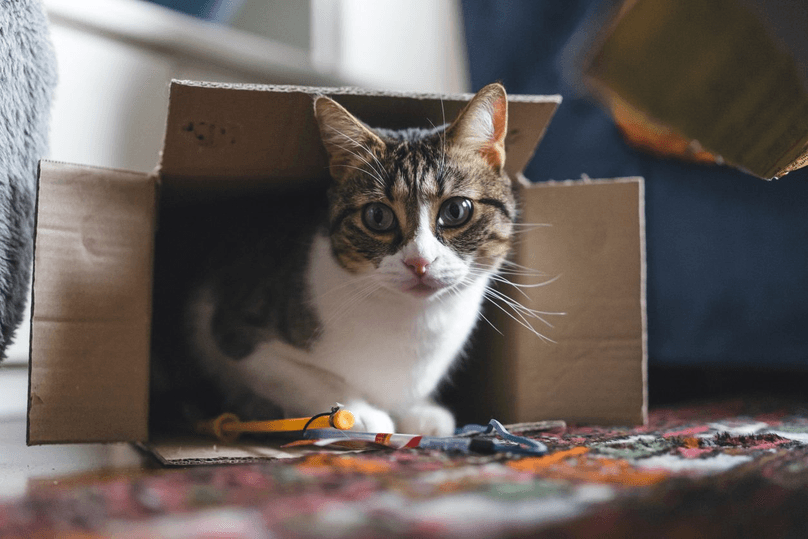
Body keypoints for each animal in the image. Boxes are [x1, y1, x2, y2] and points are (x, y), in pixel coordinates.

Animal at [150, 84, 516, 438]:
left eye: (455, 211)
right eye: (378, 216)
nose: (419, 262)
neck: (414, 323)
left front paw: (420, 411)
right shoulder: (235, 334)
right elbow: (303, 378)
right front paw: (355, 413)